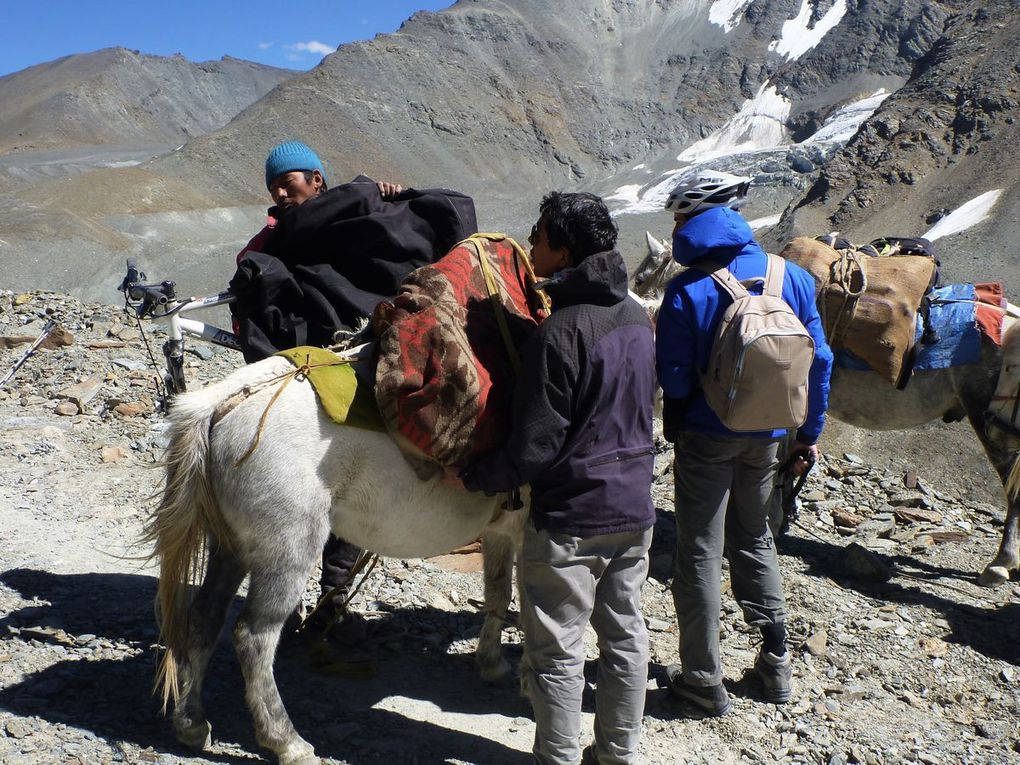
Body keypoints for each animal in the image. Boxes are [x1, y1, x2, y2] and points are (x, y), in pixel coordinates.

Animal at [145, 357, 526, 762]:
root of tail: (221, 402)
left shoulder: (501, 533)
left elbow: (498, 594)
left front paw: (492, 663)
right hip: (290, 552)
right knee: (253, 637)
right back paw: (287, 741)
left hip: (230, 548)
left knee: (205, 618)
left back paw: (192, 723)